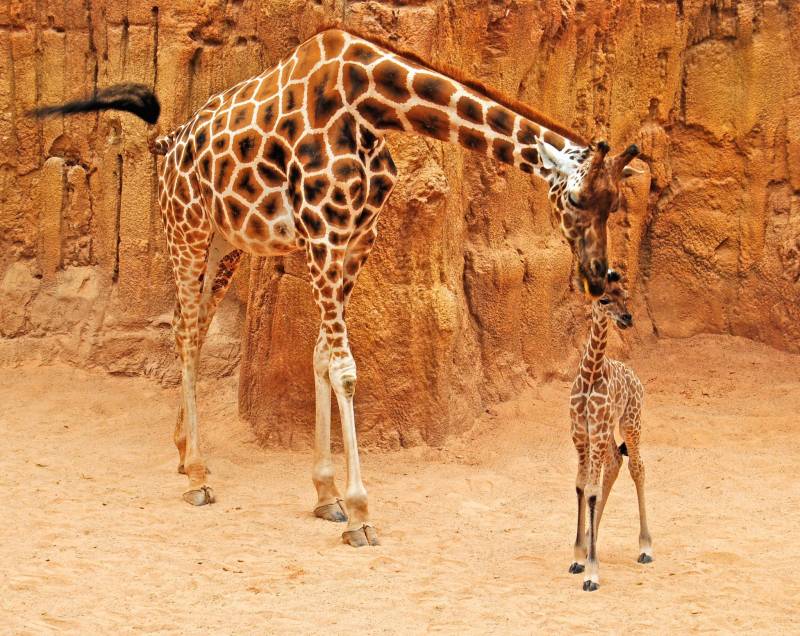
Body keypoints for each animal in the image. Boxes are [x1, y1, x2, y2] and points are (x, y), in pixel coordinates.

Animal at [34, 26, 640, 548]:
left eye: (616, 204)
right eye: (577, 199)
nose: (597, 277)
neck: (370, 104)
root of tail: (170, 143)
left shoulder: (356, 238)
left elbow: (322, 356)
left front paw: (326, 494)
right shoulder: (324, 234)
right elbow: (345, 369)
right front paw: (360, 512)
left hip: (227, 244)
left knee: (196, 328)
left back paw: (185, 452)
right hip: (185, 229)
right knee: (183, 333)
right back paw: (198, 478)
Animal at [564, 268, 652, 592]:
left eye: (624, 295)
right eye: (604, 299)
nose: (627, 318)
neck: (591, 373)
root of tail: (635, 378)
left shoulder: (598, 429)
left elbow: (591, 490)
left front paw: (592, 572)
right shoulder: (580, 431)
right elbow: (581, 486)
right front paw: (579, 556)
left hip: (631, 421)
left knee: (637, 466)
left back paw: (645, 547)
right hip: (610, 432)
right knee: (615, 462)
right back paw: (594, 537)